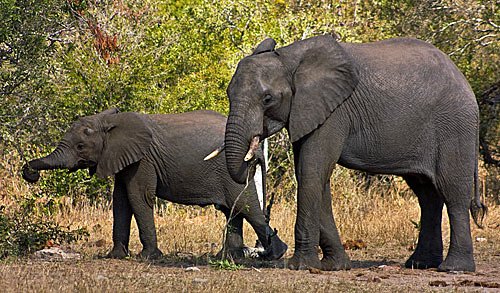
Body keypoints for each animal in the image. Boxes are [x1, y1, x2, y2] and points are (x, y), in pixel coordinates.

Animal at [22, 108, 290, 258]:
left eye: (80, 146)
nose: (29, 172)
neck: (110, 123)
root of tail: (255, 145)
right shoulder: (123, 159)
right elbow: (120, 201)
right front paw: (115, 256)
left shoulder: (143, 160)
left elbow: (138, 197)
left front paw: (148, 257)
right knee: (232, 210)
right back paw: (226, 258)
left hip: (233, 170)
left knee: (245, 205)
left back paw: (275, 254)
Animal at [221, 34, 486, 272]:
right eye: (228, 94)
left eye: (267, 99)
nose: (253, 156)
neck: (289, 59)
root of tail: (464, 81)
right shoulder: (308, 112)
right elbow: (315, 176)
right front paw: (335, 266)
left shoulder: (334, 112)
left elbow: (312, 172)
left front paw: (301, 266)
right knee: (427, 195)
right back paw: (420, 264)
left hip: (454, 127)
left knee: (453, 193)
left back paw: (454, 269)